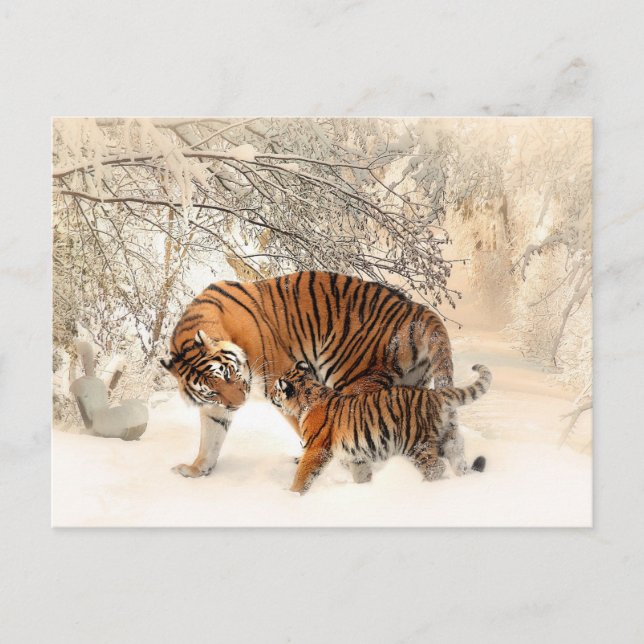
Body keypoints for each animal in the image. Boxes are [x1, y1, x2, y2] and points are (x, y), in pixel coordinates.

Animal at [161, 271, 459, 480]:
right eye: (211, 390)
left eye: (228, 374)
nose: (239, 404)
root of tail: (418, 309)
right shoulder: (216, 407)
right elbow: (210, 439)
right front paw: (196, 470)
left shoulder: (283, 382)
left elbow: (307, 427)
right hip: (411, 385)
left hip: (353, 378)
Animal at [271, 362, 491, 494]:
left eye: (275, 389)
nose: (271, 395)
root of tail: (436, 394)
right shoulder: (356, 455)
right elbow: (361, 474)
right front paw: (365, 489)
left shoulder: (316, 449)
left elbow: (303, 474)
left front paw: (292, 495)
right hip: (450, 438)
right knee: (458, 461)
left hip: (416, 444)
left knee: (435, 468)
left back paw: (422, 487)